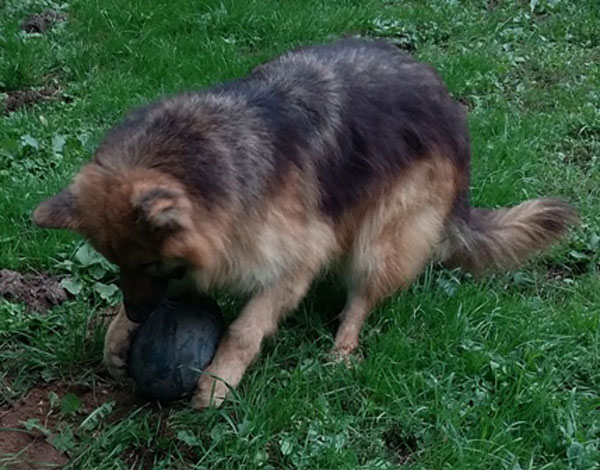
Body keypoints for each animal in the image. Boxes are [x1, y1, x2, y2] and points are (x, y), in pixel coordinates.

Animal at [31, 37, 576, 408]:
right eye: (119, 264)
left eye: (148, 263)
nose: (139, 314)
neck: (204, 155)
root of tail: (446, 103)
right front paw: (118, 332)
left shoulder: (295, 261)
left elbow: (246, 328)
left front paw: (219, 379)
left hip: (381, 237)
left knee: (363, 295)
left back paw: (343, 348)